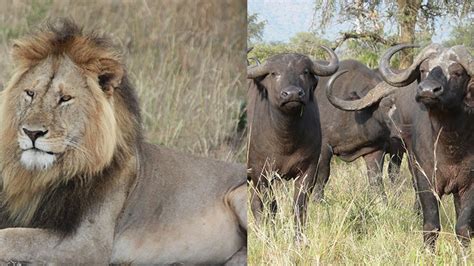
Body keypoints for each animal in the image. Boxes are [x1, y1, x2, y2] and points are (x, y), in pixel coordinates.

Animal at [0, 19, 246, 264]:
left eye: (65, 98)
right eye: (30, 93)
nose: (31, 132)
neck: (45, 177)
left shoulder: (88, 244)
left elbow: (11, 237)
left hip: (239, 193)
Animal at [248, 46, 336, 235]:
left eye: (305, 71)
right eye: (274, 73)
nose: (293, 94)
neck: (286, 139)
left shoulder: (308, 171)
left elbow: (299, 205)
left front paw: (299, 237)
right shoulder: (262, 173)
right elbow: (271, 205)